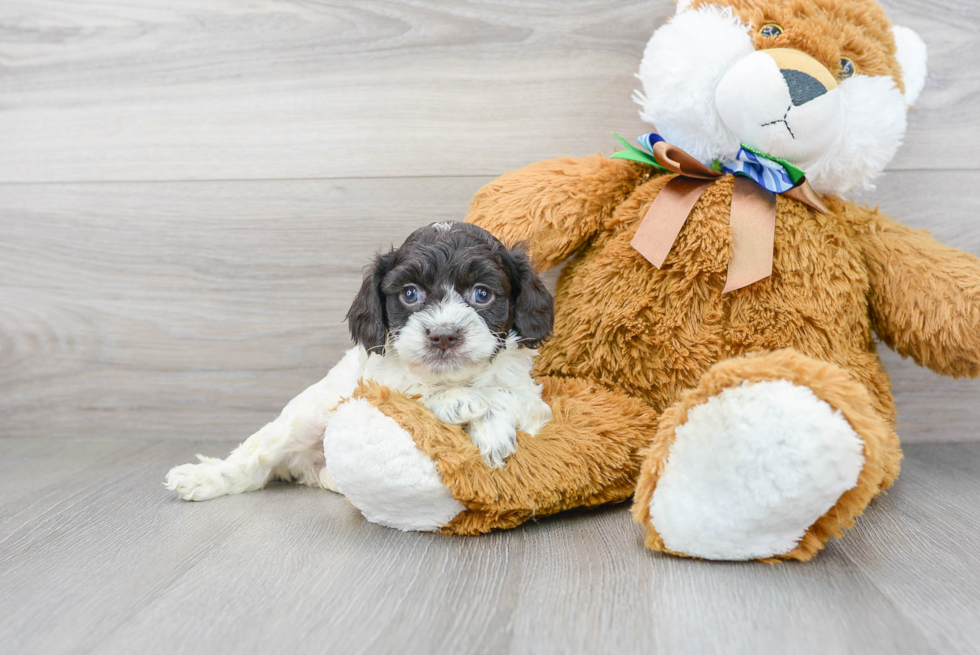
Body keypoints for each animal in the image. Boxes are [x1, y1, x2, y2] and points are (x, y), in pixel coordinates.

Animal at [165, 223, 556, 504]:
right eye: (409, 293)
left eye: (482, 294)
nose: (443, 335)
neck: (450, 377)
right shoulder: (374, 382)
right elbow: (410, 392)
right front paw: (459, 402)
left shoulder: (533, 402)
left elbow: (504, 393)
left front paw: (491, 430)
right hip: (302, 419)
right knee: (255, 461)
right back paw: (202, 478)